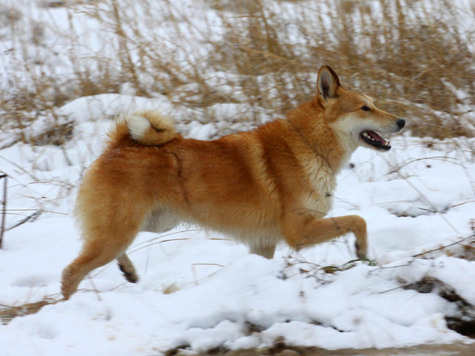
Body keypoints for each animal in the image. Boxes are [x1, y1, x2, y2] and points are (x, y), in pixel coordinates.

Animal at [61, 66, 408, 298]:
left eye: (373, 103)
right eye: (365, 108)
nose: (402, 121)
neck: (309, 143)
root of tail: (120, 145)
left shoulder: (263, 243)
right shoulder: (298, 231)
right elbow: (358, 221)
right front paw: (362, 251)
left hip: (149, 224)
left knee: (98, 250)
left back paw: (128, 271)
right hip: (120, 231)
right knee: (71, 271)